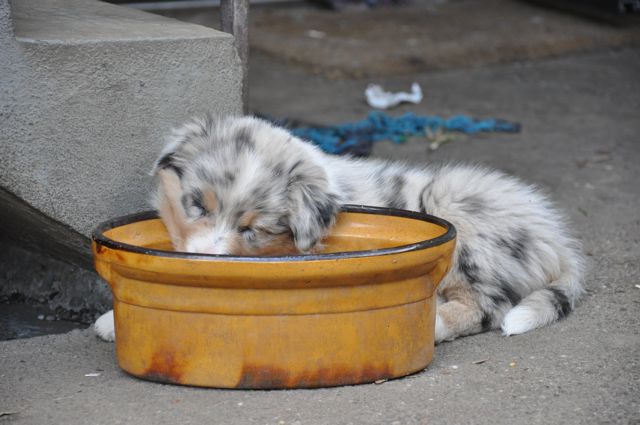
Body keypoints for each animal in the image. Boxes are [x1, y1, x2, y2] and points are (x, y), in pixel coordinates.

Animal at [95, 114, 584, 342]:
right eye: (196, 204)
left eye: (252, 229)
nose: (202, 262)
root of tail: (557, 239)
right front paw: (112, 320)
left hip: (456, 209)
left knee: (487, 307)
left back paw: (435, 323)